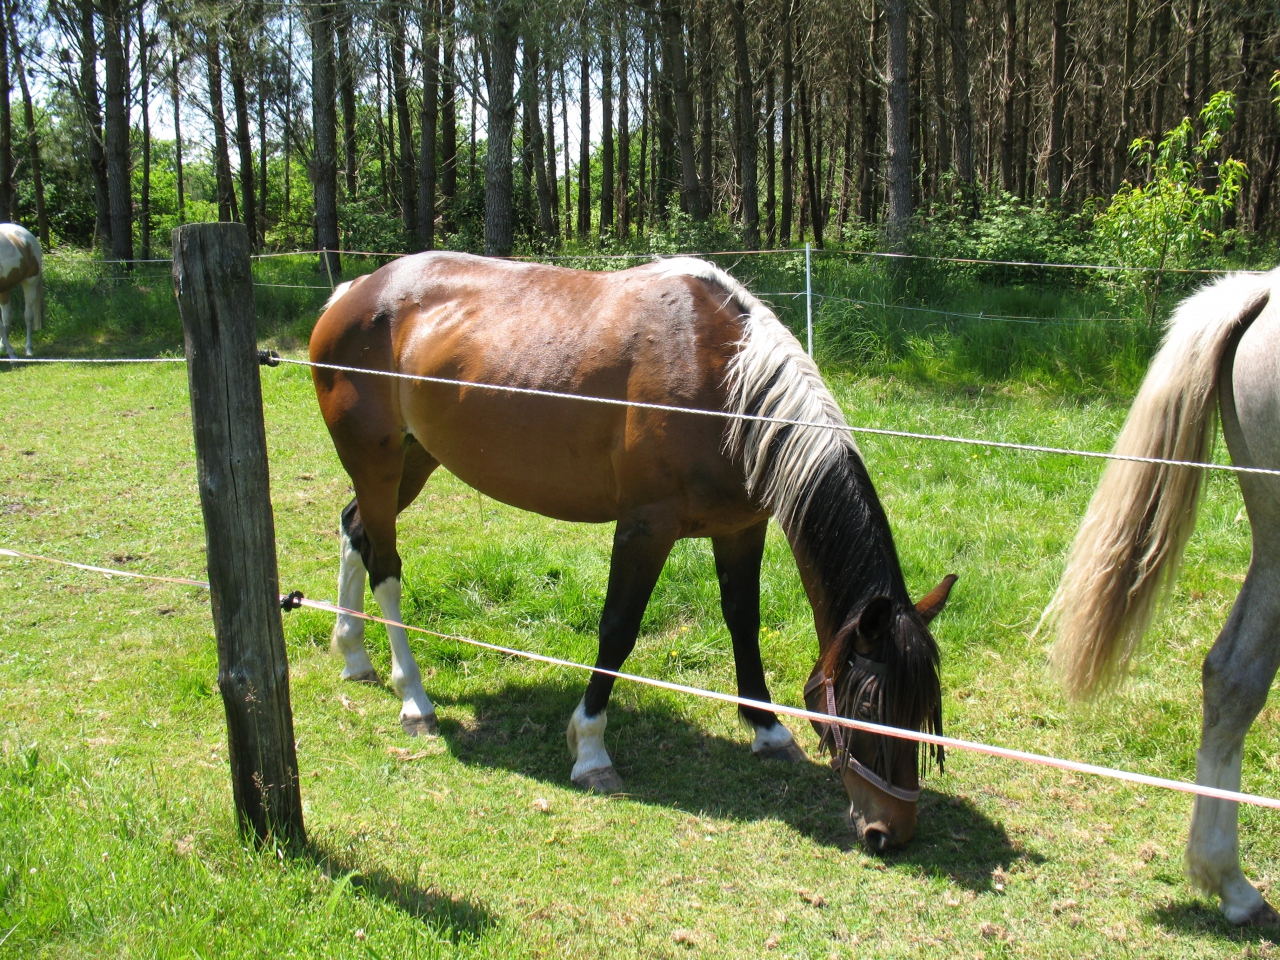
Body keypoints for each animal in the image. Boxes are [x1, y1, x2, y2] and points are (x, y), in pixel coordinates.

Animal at [0, 223, 43, 359]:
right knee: (7, 316)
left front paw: (12, 354)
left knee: (28, 316)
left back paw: (29, 349)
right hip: (5, 289)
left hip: (30, 283)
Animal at [309, 252, 955, 850]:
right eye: (868, 705)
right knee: (385, 566)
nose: (890, 832)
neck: (724, 382)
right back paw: (413, 698)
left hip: (413, 458)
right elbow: (618, 631)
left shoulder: (741, 528)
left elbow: (743, 622)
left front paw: (768, 731)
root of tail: (354, 291)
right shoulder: (645, 528)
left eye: (923, 714)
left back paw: (354, 654)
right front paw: (591, 749)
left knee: (355, 531)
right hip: (377, 459)